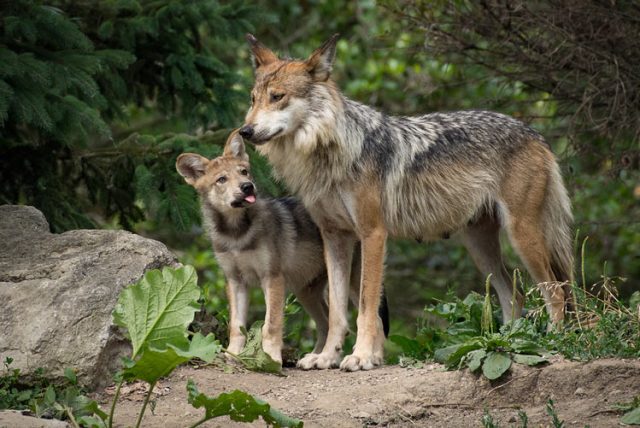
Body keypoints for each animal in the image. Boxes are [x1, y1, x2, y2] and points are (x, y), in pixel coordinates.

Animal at [240, 34, 576, 372]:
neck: (330, 152)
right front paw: (327, 357)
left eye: (277, 97)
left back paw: (554, 342)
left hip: (521, 237)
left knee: (557, 292)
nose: (245, 131)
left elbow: (367, 306)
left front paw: (361, 356)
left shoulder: (373, 234)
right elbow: (336, 310)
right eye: (253, 99)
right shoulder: (335, 237)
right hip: (481, 249)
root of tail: (535, 134)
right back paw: (508, 341)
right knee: (516, 297)